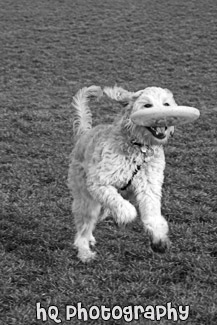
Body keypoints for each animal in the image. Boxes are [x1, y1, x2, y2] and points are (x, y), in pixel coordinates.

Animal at [68, 85, 175, 260]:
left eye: (166, 104)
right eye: (147, 105)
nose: (164, 117)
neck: (139, 148)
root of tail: (85, 133)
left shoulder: (150, 187)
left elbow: (152, 215)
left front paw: (159, 240)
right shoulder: (99, 182)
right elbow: (124, 207)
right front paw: (126, 215)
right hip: (86, 198)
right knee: (84, 226)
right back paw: (84, 251)